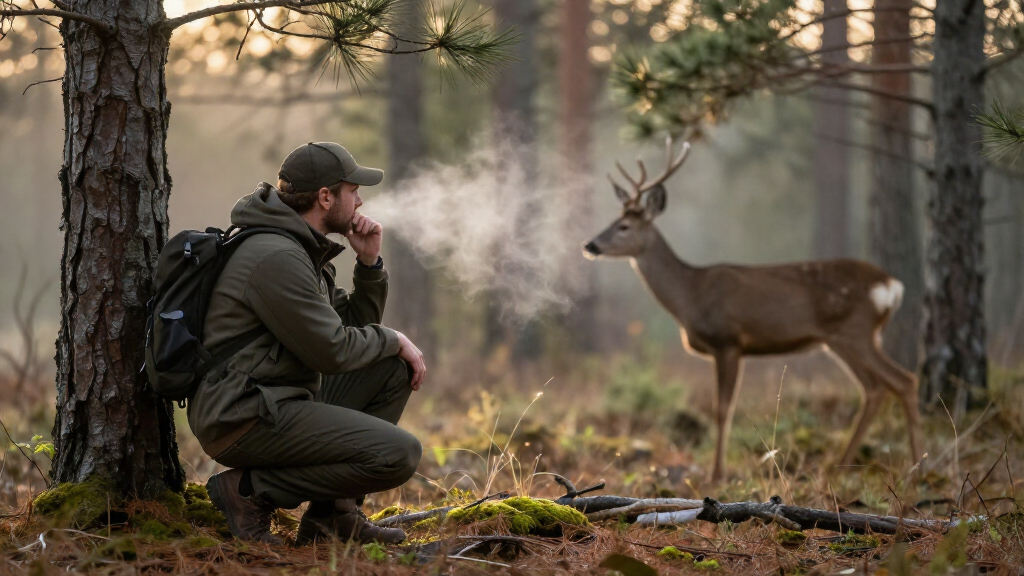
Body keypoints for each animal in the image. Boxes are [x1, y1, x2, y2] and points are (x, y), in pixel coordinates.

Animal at [583, 137, 922, 480]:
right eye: (612, 221)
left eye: (624, 226)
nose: (590, 245)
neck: (690, 296)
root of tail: (891, 284)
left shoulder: (728, 341)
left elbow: (723, 409)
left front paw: (716, 474)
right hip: (846, 339)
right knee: (875, 388)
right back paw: (845, 465)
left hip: (854, 331)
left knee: (903, 381)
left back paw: (914, 465)